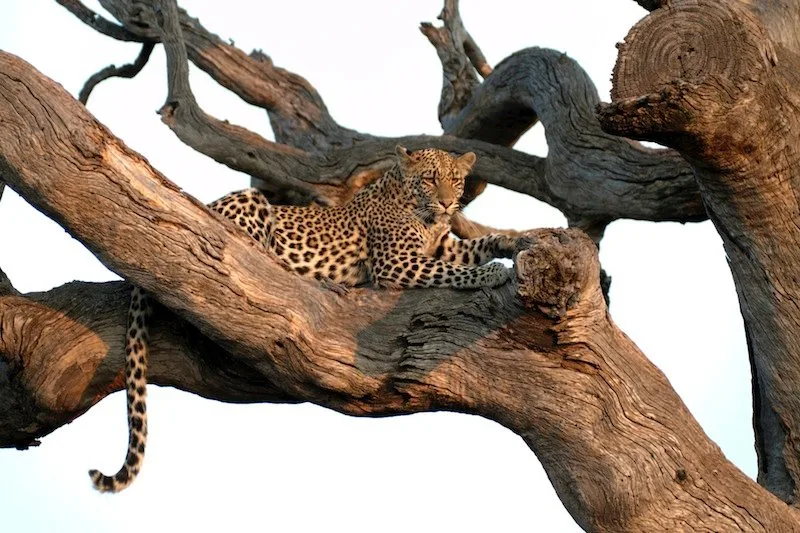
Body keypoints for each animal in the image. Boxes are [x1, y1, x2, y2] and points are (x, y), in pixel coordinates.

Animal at [89, 145, 525, 492]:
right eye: (431, 179)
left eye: (455, 180)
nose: (449, 204)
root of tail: (207, 206)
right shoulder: (398, 264)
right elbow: (457, 271)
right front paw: (493, 272)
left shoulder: (443, 247)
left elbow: (477, 245)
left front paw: (517, 239)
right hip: (253, 202)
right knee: (251, 250)